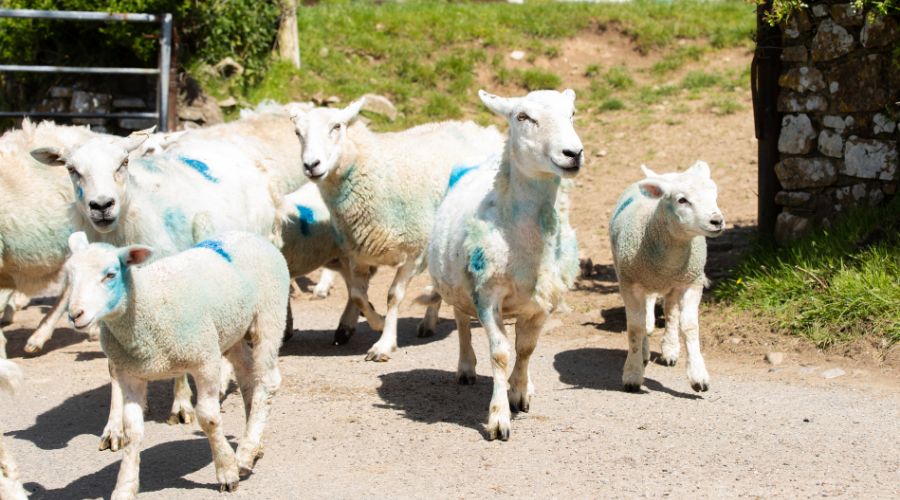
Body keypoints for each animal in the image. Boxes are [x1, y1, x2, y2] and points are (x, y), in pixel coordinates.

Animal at [63, 230, 288, 496]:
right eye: (70, 275)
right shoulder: (131, 375)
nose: (75, 315)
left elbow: (208, 418)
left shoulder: (205, 360)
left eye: (110, 275)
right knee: (247, 378)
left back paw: (244, 454)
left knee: (267, 381)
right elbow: (133, 430)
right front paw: (125, 487)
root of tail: (248, 234)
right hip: (232, 331)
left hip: (269, 315)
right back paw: (252, 446)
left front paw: (227, 471)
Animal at [286, 99, 506, 362]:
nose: (311, 165)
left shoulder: (414, 251)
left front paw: (384, 344)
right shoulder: (358, 252)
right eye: (297, 133)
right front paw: (377, 322)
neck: (377, 174)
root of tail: (482, 128)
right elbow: (357, 294)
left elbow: (393, 296)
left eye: (336, 127)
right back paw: (426, 322)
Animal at [428, 90, 584, 442]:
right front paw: (499, 418)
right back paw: (466, 368)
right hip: (459, 286)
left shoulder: (543, 302)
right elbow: (500, 354)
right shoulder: (488, 295)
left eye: (571, 114)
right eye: (523, 117)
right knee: (461, 322)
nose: (573, 154)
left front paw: (520, 392)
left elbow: (525, 349)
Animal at [604, 162, 724, 392]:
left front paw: (698, 376)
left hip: (673, 285)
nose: (717, 221)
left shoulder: (691, 282)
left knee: (670, 312)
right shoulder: (630, 284)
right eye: (682, 200)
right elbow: (636, 327)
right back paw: (644, 353)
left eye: (714, 194)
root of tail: (666, 175)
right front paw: (632, 374)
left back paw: (670, 349)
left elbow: (689, 326)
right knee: (647, 319)